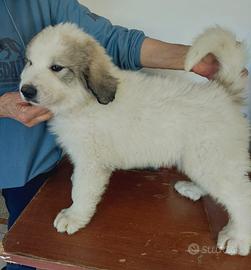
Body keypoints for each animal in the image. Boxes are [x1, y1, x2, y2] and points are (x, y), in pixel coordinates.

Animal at [20, 23, 250, 255]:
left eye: (56, 67)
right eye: (30, 62)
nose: (25, 90)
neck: (82, 101)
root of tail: (223, 91)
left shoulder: (92, 162)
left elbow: (83, 191)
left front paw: (74, 216)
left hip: (210, 159)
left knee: (241, 197)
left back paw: (237, 238)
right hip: (201, 161)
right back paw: (193, 189)